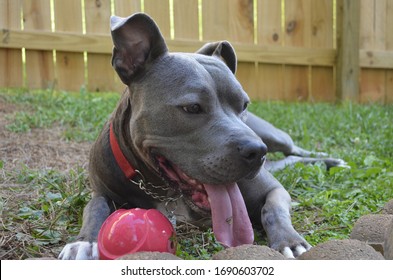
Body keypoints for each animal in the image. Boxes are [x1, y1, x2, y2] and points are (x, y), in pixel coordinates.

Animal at [58, 12, 344, 258]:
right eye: (192, 107)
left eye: (244, 105)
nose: (257, 152)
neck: (163, 190)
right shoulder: (101, 190)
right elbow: (95, 207)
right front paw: (83, 242)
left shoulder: (274, 190)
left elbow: (273, 208)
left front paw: (290, 242)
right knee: (289, 159)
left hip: (274, 137)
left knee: (294, 150)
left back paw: (333, 160)